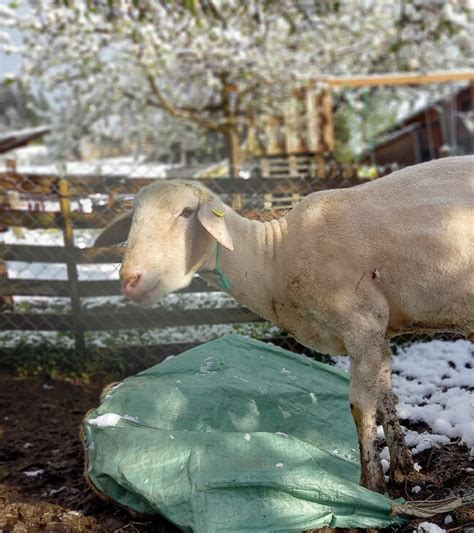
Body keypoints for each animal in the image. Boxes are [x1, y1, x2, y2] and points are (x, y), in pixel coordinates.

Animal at [96, 156, 474, 492]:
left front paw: (372, 485)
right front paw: (404, 471)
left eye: (187, 212)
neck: (272, 259)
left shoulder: (361, 324)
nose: (130, 279)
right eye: (133, 219)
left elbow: (361, 407)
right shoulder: (377, 334)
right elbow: (386, 399)